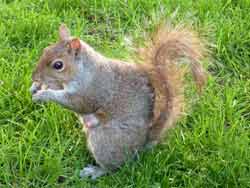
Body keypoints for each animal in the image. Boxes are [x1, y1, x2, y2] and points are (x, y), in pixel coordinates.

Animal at [29, 23, 207, 179]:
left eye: (58, 65)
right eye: (45, 50)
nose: (34, 76)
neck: (84, 70)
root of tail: (142, 144)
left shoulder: (91, 91)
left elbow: (75, 102)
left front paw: (43, 95)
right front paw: (35, 87)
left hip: (105, 141)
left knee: (113, 166)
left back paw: (95, 171)